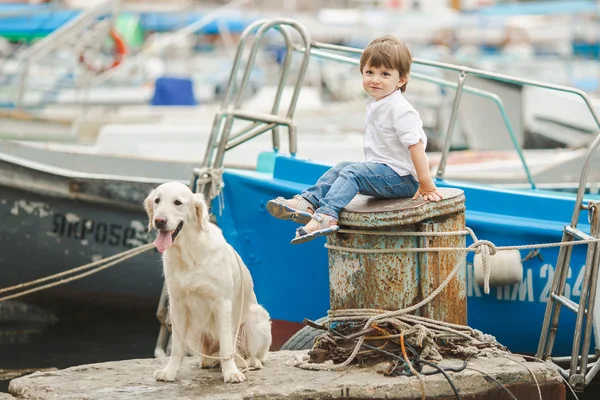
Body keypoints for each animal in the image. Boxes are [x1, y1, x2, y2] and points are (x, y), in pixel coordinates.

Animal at [144, 182, 270, 384]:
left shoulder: (222, 304)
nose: (159, 221)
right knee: (212, 355)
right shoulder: (177, 306)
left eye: (177, 202)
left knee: (248, 353)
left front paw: (231, 372)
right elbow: (177, 349)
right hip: (197, 332)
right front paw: (170, 372)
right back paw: (210, 361)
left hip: (256, 319)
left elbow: (227, 345)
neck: (189, 254)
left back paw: (249, 362)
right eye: (157, 200)